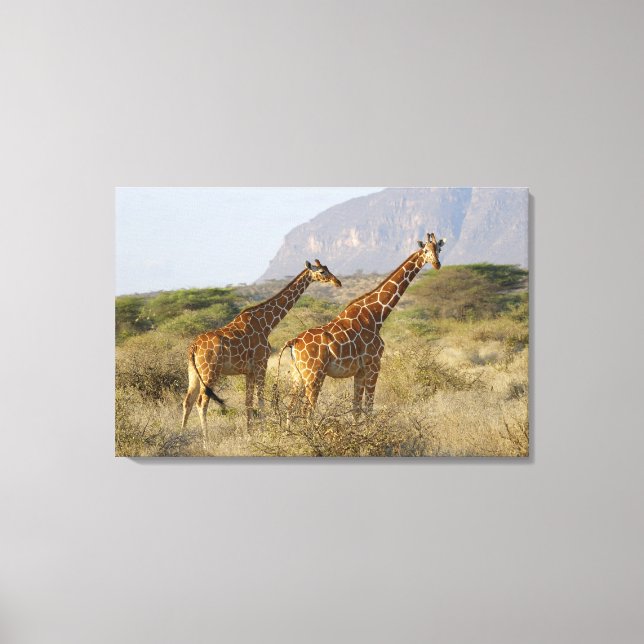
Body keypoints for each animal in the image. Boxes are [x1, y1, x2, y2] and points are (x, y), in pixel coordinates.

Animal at [182, 260, 342, 443]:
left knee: (187, 401)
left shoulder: (249, 371)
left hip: (193, 373)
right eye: (322, 271)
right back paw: (206, 442)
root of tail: (193, 347)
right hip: (210, 371)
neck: (267, 324)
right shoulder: (261, 364)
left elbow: (248, 401)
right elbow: (260, 399)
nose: (337, 282)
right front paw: (264, 432)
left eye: (328, 269)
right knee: (201, 402)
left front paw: (250, 433)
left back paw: (181, 436)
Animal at [281, 233, 445, 416]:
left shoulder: (359, 371)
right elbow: (369, 408)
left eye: (438, 249)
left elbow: (356, 409)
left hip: (297, 375)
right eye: (425, 250)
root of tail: (293, 342)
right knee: (306, 410)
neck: (376, 314)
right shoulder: (373, 364)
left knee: (290, 409)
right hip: (314, 374)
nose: (437, 264)